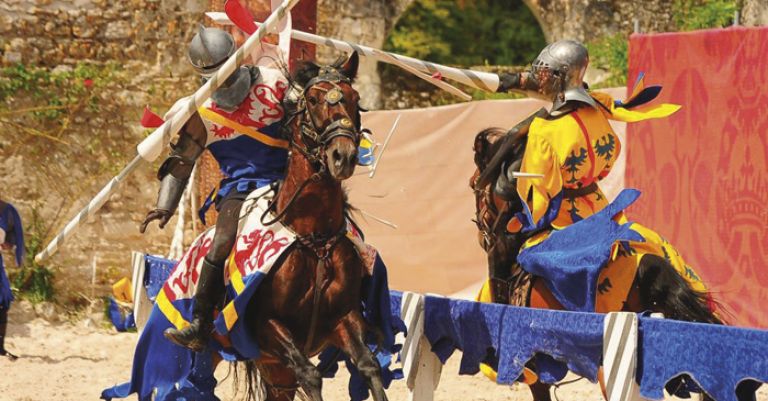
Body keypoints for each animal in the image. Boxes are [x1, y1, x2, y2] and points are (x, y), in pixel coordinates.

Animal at [234, 51, 388, 398]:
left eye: (355, 99)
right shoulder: (268, 326)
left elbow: (370, 367)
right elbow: (311, 375)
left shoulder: (345, 319)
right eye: (314, 99)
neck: (315, 238)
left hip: (276, 371)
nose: (343, 156)